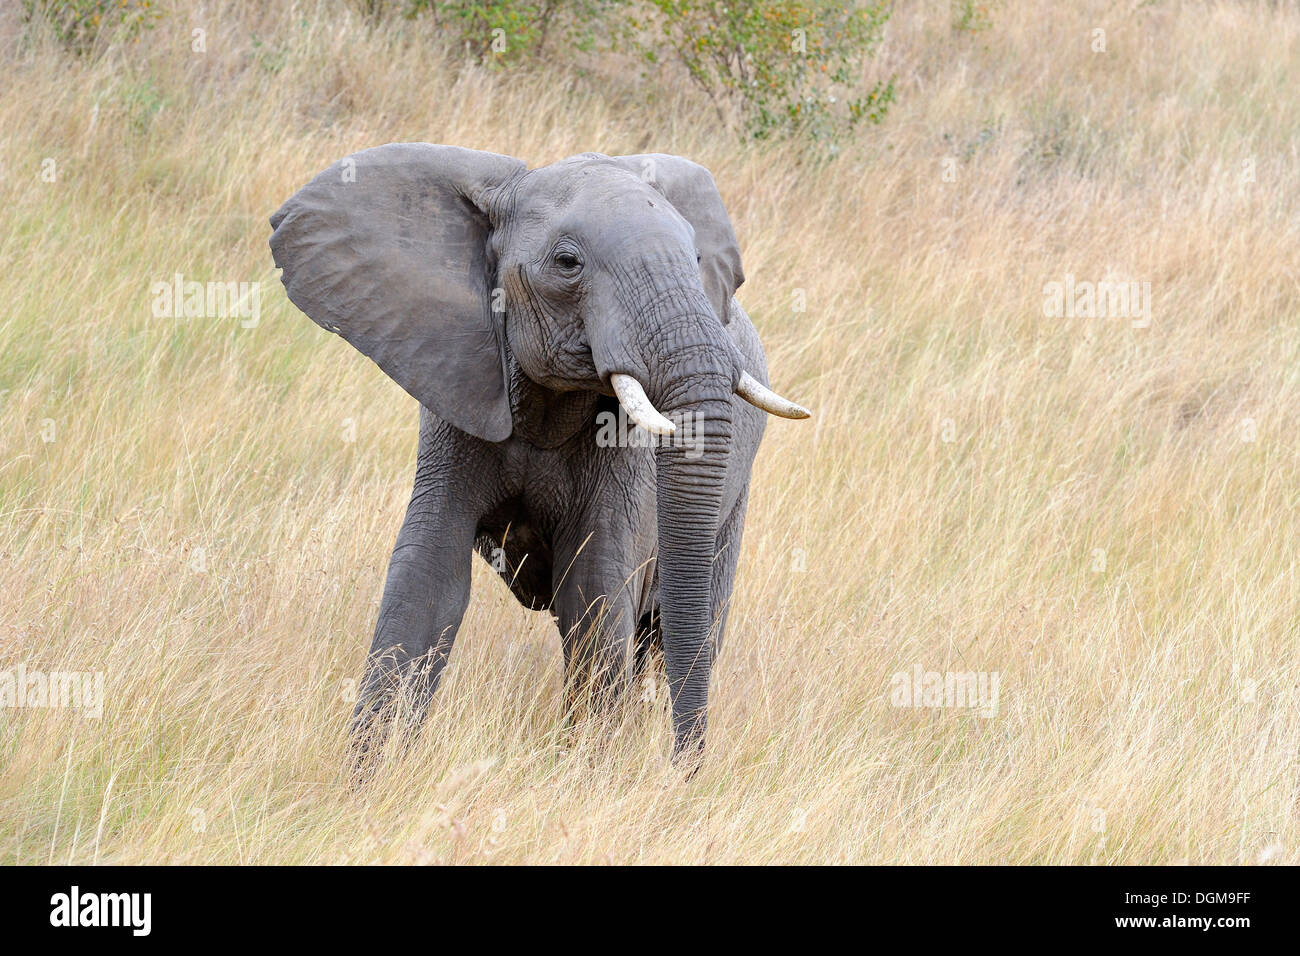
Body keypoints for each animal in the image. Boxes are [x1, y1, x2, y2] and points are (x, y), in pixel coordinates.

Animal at [267, 145, 806, 764]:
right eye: (567, 263)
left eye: (695, 258)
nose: (685, 769)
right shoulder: (457, 390)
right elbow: (428, 578)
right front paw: (368, 777)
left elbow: (596, 591)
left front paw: (586, 772)